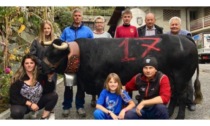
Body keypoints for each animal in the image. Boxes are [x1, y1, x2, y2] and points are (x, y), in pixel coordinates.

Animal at [42, 34, 202, 118]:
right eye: (46, 51)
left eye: (54, 54)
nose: (41, 66)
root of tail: (185, 37)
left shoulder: (100, 81)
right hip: (171, 77)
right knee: (173, 94)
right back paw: (168, 112)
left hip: (181, 77)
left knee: (181, 95)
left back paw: (179, 116)